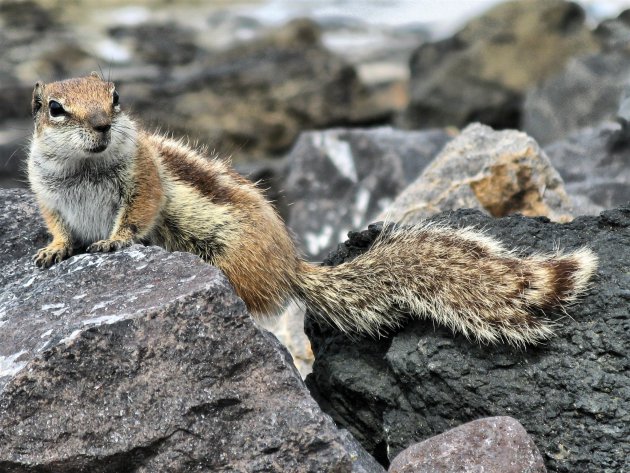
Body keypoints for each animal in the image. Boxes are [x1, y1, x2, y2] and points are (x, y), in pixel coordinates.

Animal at [27, 75, 600, 344]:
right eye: (55, 108)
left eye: (116, 96)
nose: (102, 124)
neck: (83, 170)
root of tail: (289, 265)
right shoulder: (47, 193)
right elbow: (57, 225)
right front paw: (52, 250)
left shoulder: (144, 178)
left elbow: (139, 213)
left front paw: (114, 240)